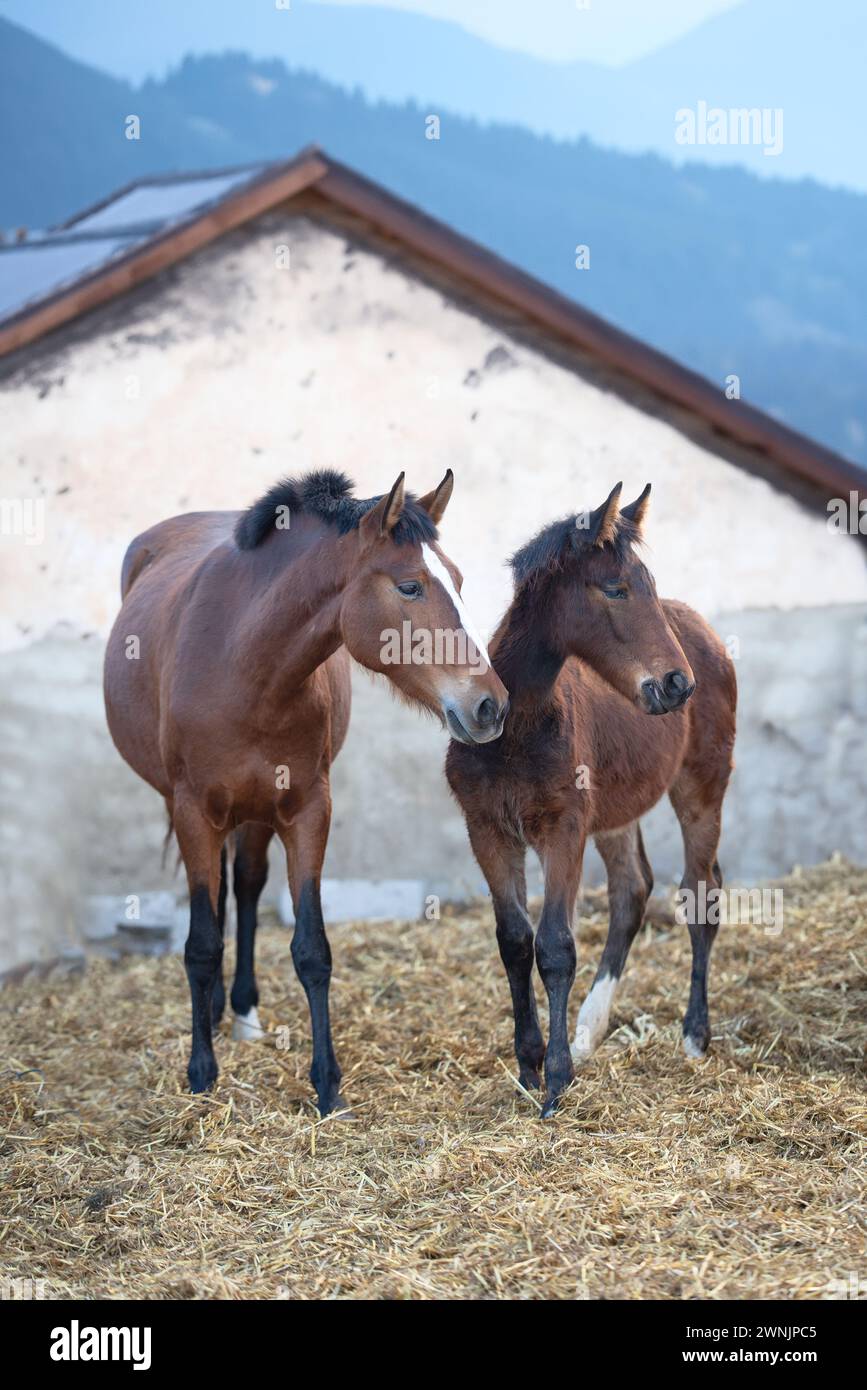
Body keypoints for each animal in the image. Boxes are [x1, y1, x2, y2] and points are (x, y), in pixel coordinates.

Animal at [104, 472, 508, 1112]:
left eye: (460, 582)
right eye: (410, 586)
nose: (491, 706)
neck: (243, 661)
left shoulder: (308, 810)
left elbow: (312, 949)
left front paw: (328, 1086)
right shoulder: (194, 809)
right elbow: (200, 945)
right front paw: (201, 1075)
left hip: (254, 813)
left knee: (244, 888)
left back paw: (240, 1012)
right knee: (215, 901)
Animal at [447, 483, 739, 1112]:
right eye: (615, 587)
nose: (677, 684)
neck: (516, 727)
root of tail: (703, 630)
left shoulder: (564, 827)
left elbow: (556, 946)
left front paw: (556, 1082)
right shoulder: (488, 830)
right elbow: (514, 941)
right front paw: (530, 1066)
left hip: (702, 786)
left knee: (701, 892)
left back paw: (693, 1036)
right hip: (615, 813)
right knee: (632, 890)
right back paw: (589, 1029)